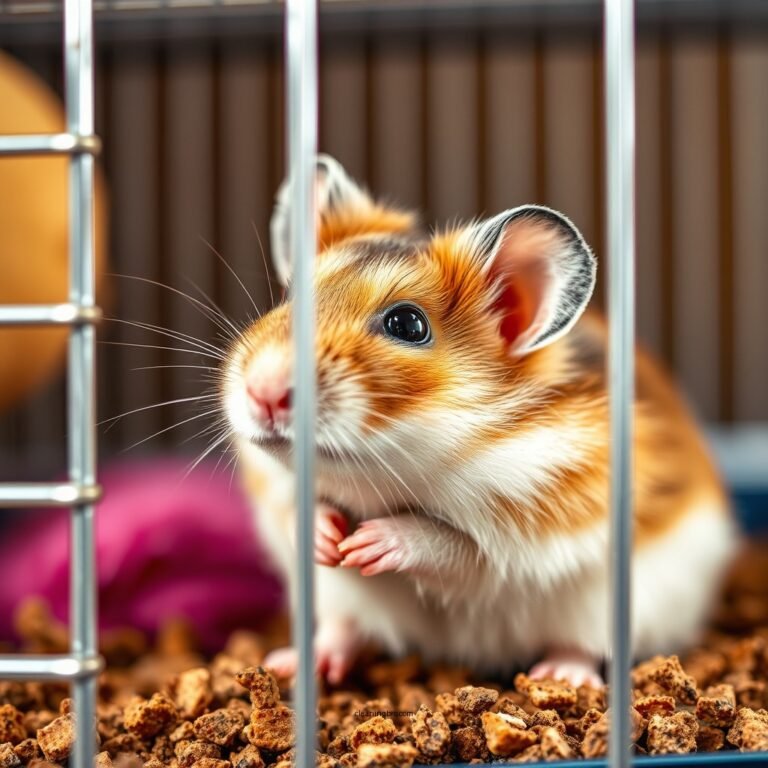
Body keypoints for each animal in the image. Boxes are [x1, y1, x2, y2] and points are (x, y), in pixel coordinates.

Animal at [221, 154, 736, 687]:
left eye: (407, 325)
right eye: (290, 299)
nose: (262, 391)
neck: (385, 476)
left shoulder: (523, 533)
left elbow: (452, 544)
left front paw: (366, 545)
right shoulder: (275, 488)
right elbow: (297, 509)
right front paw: (329, 543)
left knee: (580, 646)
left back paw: (561, 677)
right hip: (336, 599)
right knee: (344, 627)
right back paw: (294, 664)